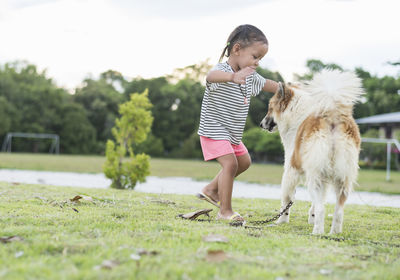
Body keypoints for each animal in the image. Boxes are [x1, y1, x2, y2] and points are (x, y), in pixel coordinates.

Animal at [260, 70, 366, 234]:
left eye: (270, 108)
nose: (261, 124)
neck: (296, 113)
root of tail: (332, 115)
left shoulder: (291, 169)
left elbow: (287, 197)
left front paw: (281, 220)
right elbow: (315, 203)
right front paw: (312, 217)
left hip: (315, 176)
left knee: (322, 208)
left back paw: (317, 232)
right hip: (342, 176)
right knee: (338, 209)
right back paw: (334, 233)